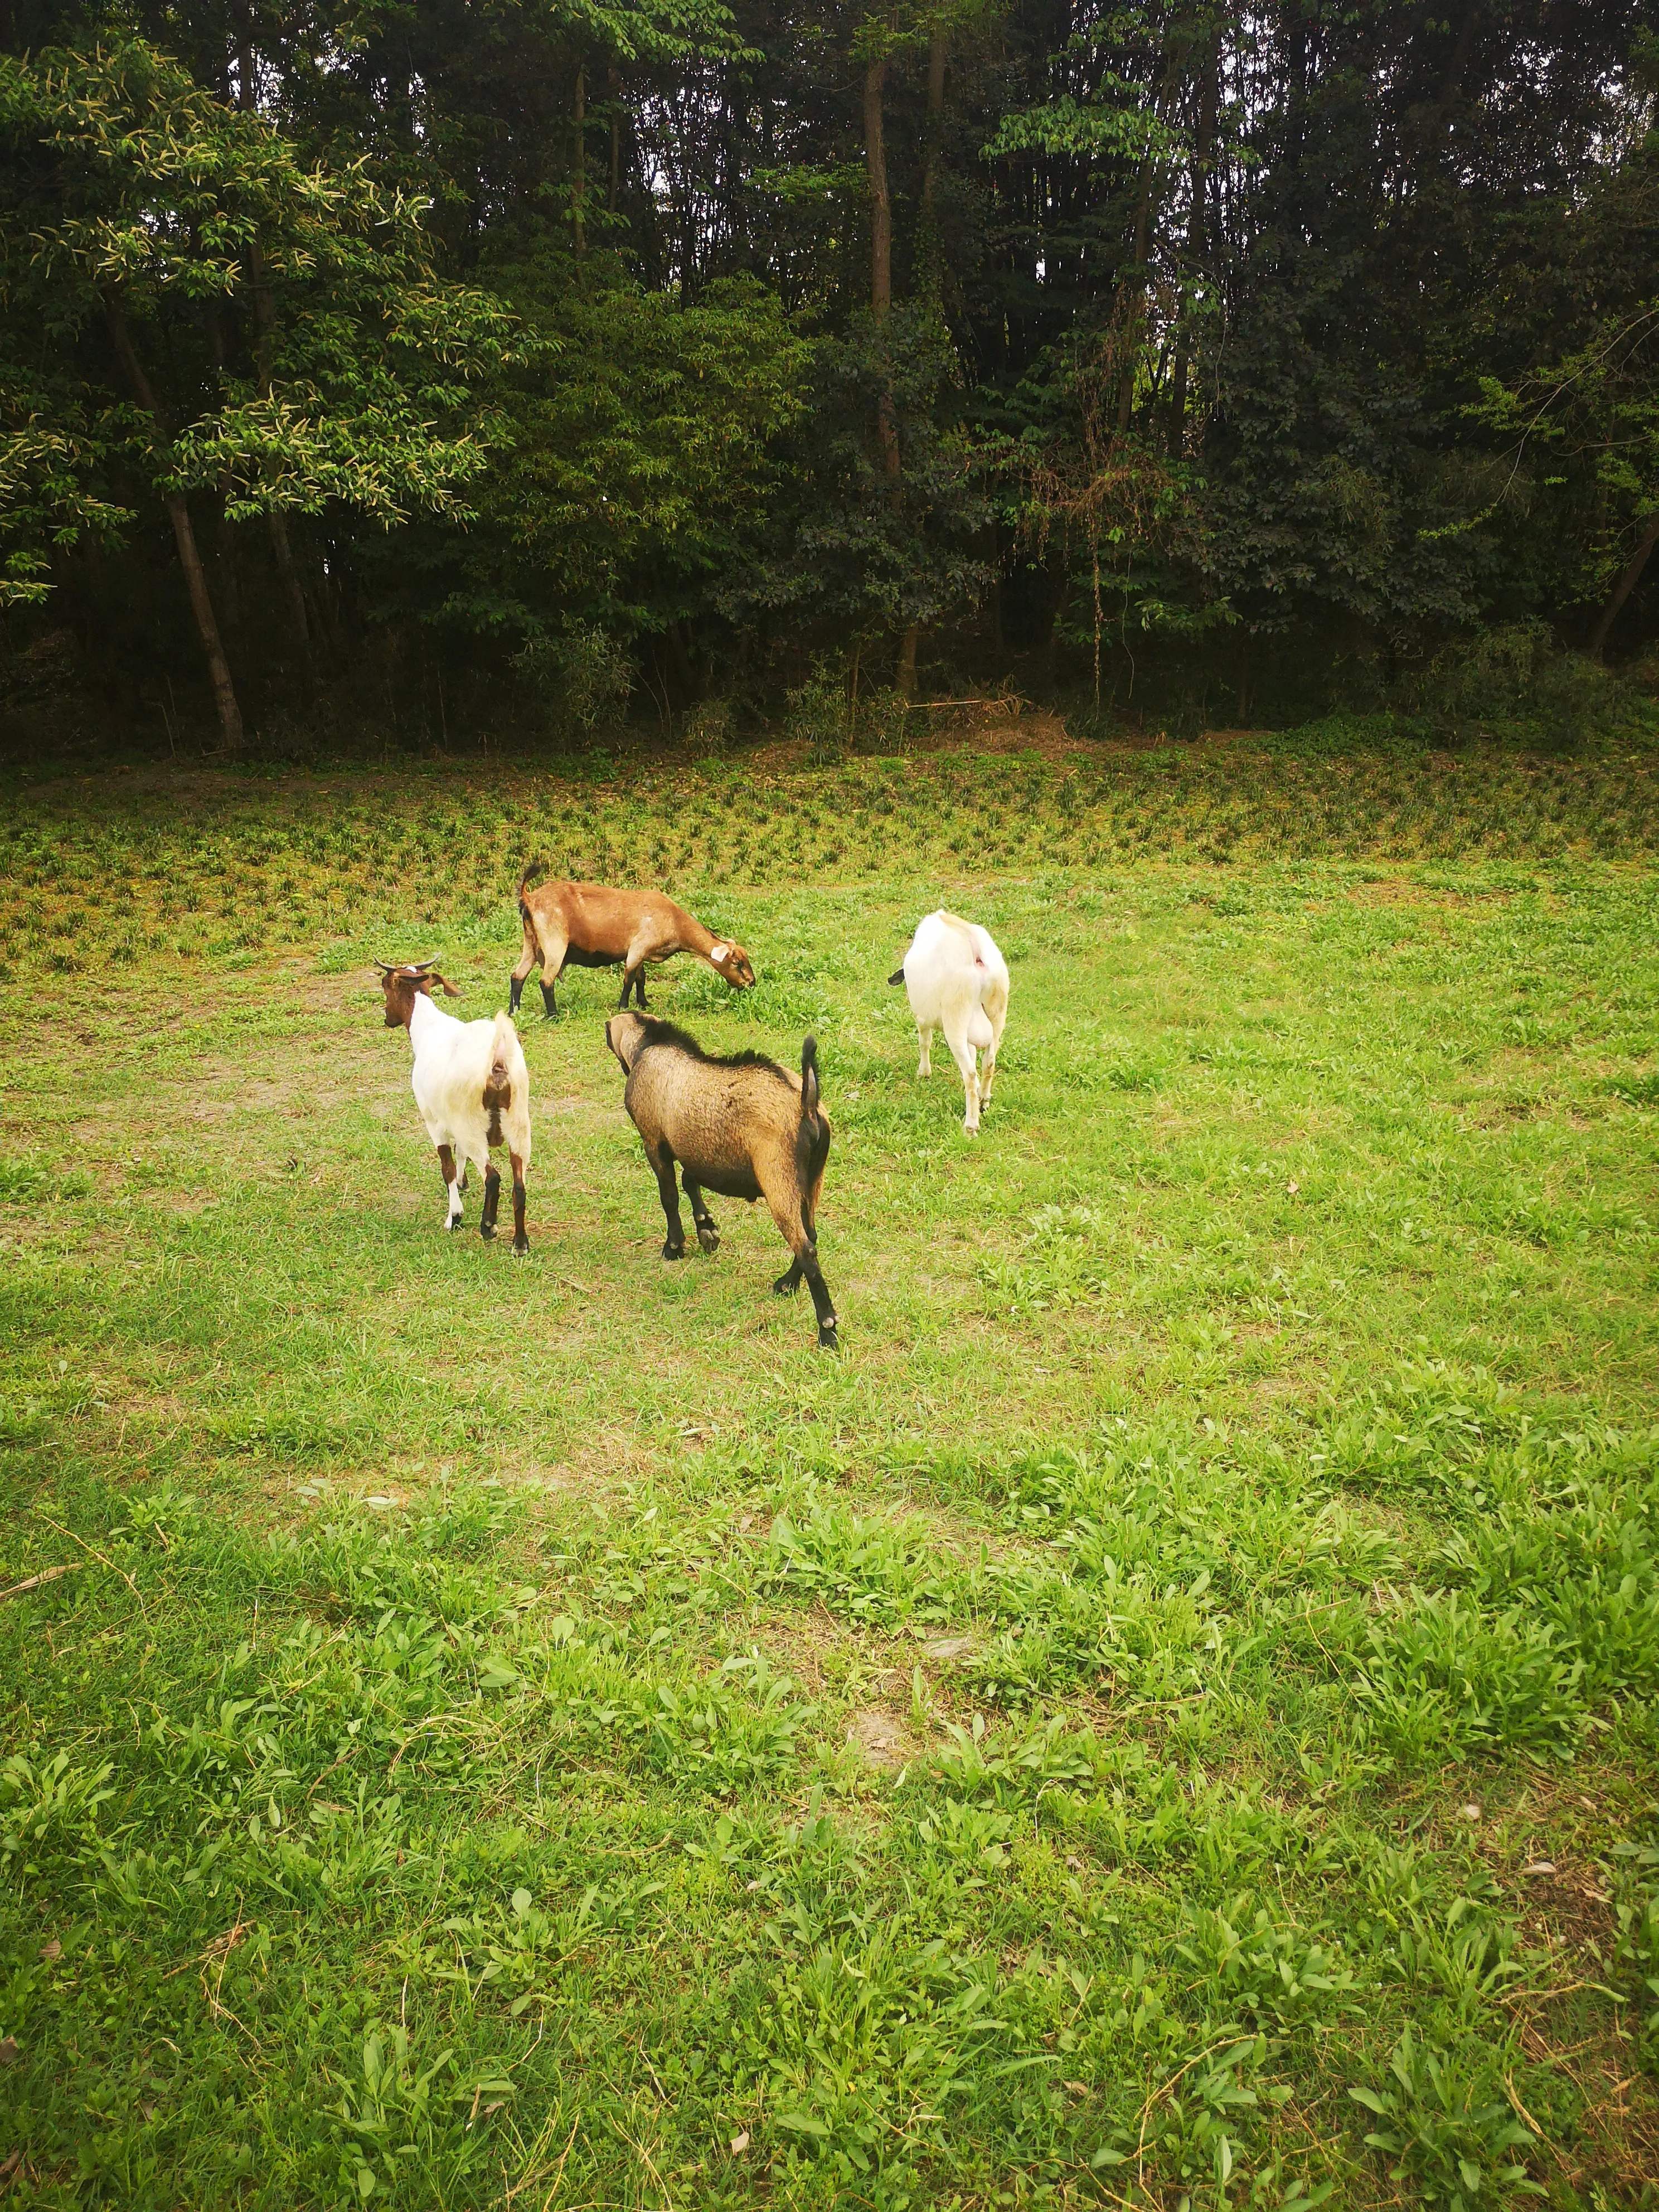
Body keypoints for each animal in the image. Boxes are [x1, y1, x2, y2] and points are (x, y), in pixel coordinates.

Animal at [376, 960, 533, 1256]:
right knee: (519, 1185)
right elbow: (459, 1156)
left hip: (474, 1125)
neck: (428, 1028)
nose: (387, 1020)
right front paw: (463, 1183)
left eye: (385, 985)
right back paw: (520, 1243)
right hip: (518, 1122)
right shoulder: (455, 1122)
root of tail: (497, 1063)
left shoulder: (434, 1120)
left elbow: (446, 1166)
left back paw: (488, 1226)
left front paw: (455, 1216)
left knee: (493, 1178)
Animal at [513, 871, 760, 1026]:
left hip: (531, 943)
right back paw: (553, 1015)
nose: (751, 983)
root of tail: (530, 897)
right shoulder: (638, 948)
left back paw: (514, 1011)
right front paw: (623, 1006)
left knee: (517, 976)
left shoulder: (643, 953)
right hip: (554, 943)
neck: (675, 922)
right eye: (737, 963)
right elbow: (629, 978)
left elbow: (641, 979)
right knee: (546, 981)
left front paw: (644, 1003)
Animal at [606, 1013, 836, 1345]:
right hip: (811, 1179)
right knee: (811, 1235)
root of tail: (806, 1102)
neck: (650, 1046)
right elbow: (689, 1181)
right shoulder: (694, 1153)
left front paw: (674, 1247)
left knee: (805, 1246)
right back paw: (786, 1284)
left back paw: (827, 1328)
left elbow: (669, 1196)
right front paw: (707, 1230)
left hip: (778, 1177)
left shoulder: (653, 1141)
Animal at [885, 906, 1013, 1132]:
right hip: (997, 1013)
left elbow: (924, 1042)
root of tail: (976, 953)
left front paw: (924, 1073)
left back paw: (971, 1126)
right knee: (989, 1063)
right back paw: (984, 1102)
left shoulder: (922, 1018)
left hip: (956, 1018)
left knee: (969, 1074)